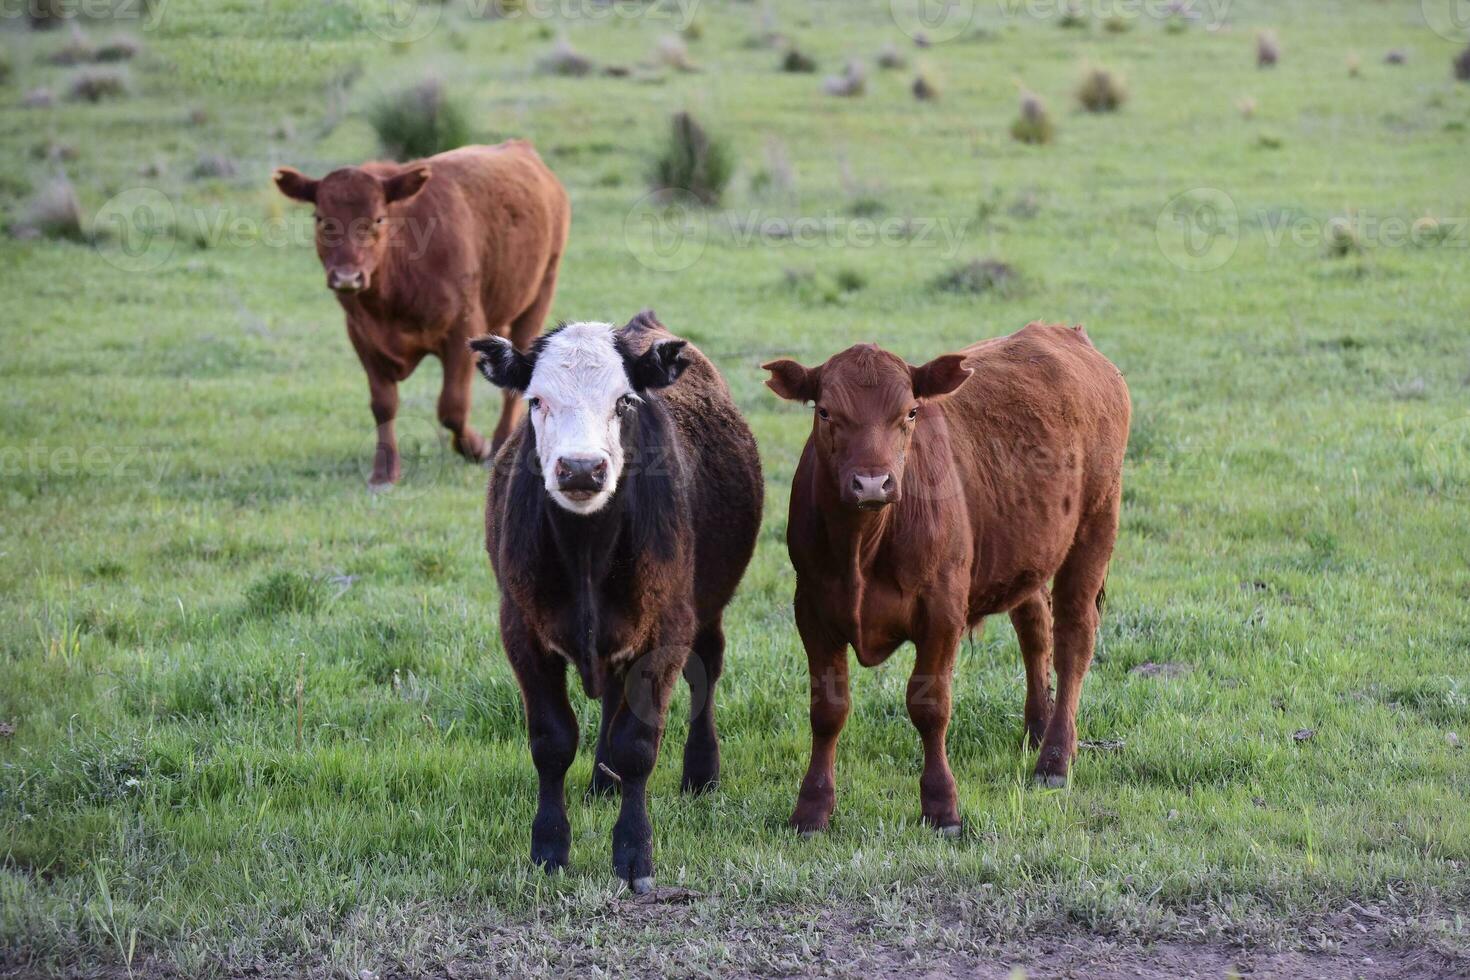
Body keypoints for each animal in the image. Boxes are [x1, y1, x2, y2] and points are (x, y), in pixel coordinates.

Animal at [273, 141, 570, 487]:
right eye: (321, 219)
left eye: (378, 219)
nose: (347, 277)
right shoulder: (362, 337)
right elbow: (383, 404)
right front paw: (384, 471)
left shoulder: (463, 330)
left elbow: (452, 407)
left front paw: (477, 447)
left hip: (539, 294)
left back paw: (499, 445)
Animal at [764, 326, 1128, 834]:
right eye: (825, 412)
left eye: (910, 412)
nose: (872, 484)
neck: (862, 547)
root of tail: (1064, 334)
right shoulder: (813, 611)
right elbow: (827, 711)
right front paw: (811, 808)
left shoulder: (941, 612)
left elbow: (930, 706)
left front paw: (941, 806)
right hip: (1028, 549)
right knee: (1035, 628)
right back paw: (1037, 729)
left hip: (1096, 524)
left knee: (1073, 640)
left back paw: (1054, 759)